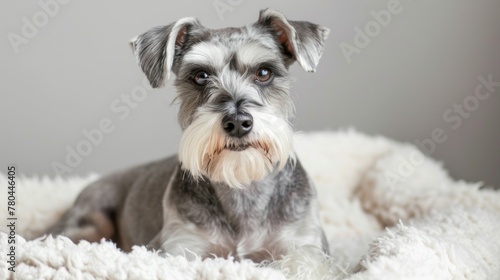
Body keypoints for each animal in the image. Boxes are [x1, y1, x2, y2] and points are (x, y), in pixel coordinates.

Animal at [46, 8, 328, 262]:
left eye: (264, 72)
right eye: (200, 76)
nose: (238, 122)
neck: (242, 187)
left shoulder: (304, 241)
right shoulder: (178, 245)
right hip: (87, 224)